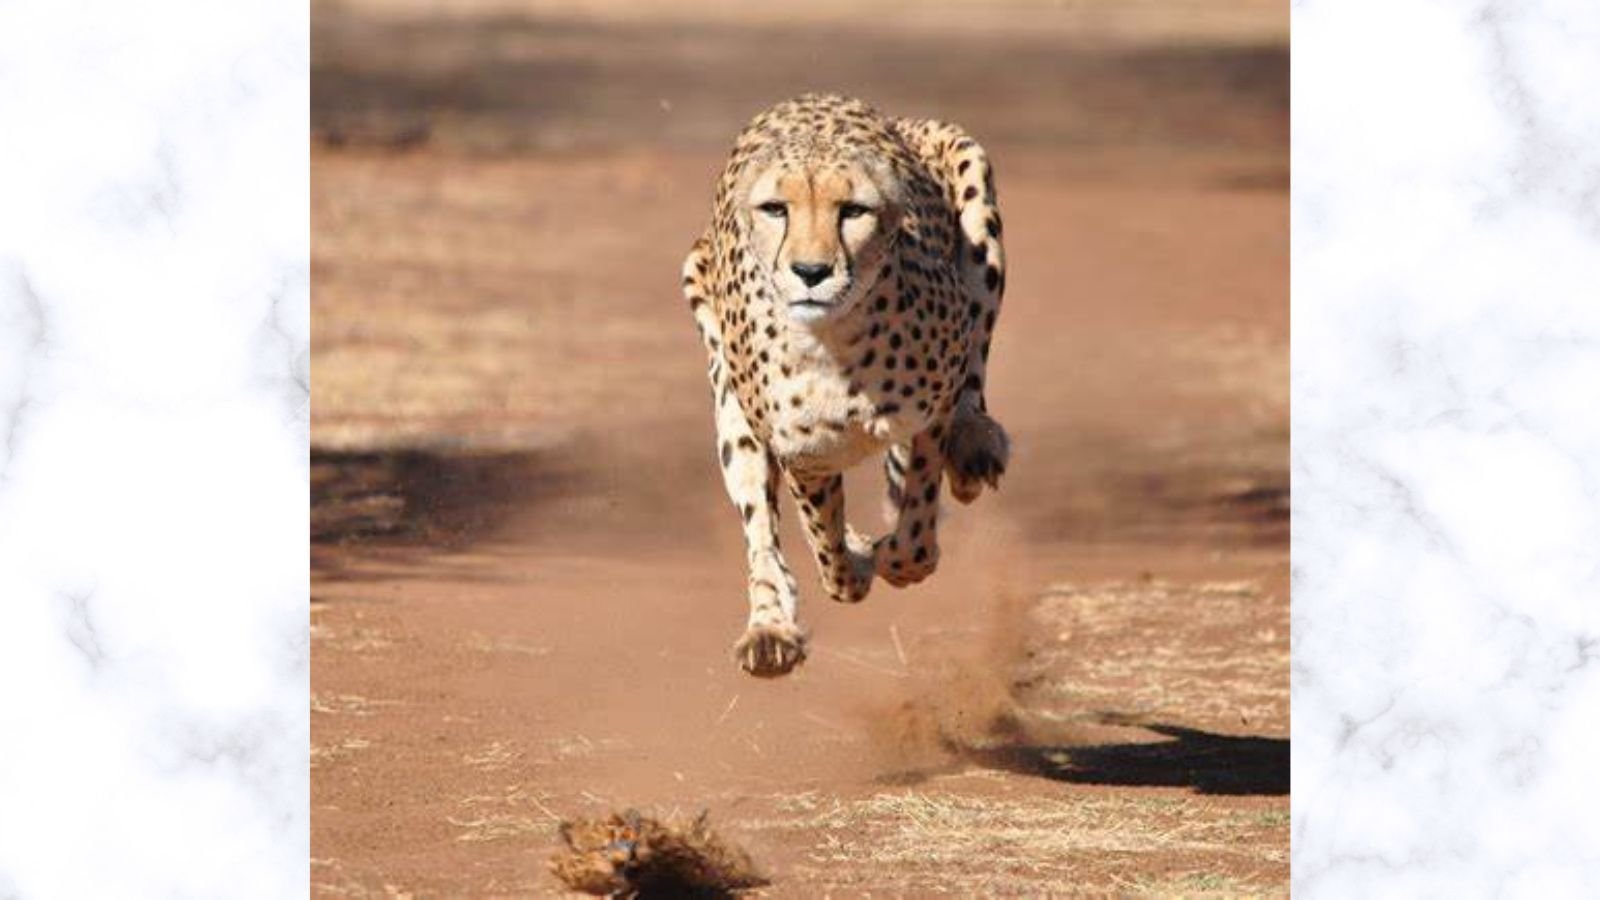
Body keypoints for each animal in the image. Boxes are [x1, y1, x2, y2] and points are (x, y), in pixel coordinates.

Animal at [682, 94, 1010, 678]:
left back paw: (974, 447)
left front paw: (892, 557)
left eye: (853, 210)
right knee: (761, 531)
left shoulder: (930, 413)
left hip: (976, 201)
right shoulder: (802, 455)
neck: (835, 341)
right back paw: (770, 628)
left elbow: (914, 535)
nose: (811, 271)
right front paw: (854, 564)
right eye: (776, 208)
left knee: (976, 357)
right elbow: (825, 543)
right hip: (729, 404)